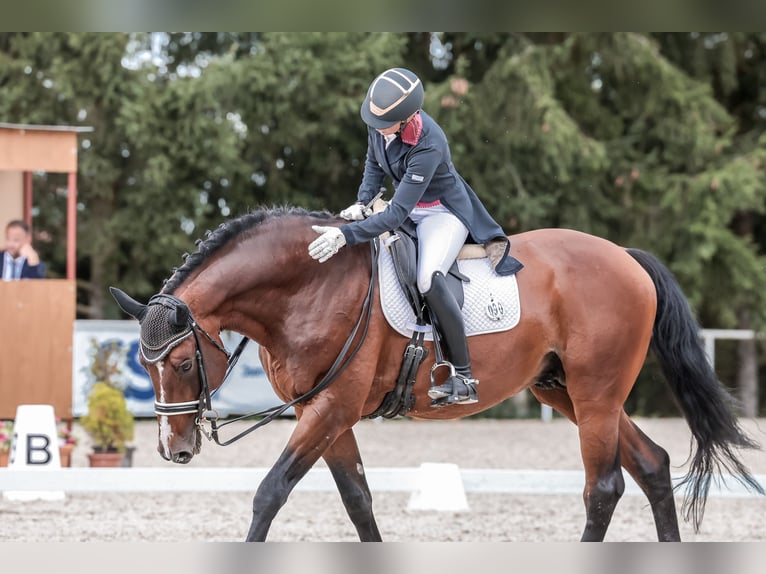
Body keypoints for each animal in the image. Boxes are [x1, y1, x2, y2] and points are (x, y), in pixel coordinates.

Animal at [111, 208, 764, 544]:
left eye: (184, 363)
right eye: (144, 365)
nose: (175, 449)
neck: (308, 287)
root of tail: (625, 256)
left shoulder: (331, 407)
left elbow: (270, 493)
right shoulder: (322, 411)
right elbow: (358, 500)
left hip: (596, 394)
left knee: (603, 487)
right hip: (566, 392)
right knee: (653, 466)